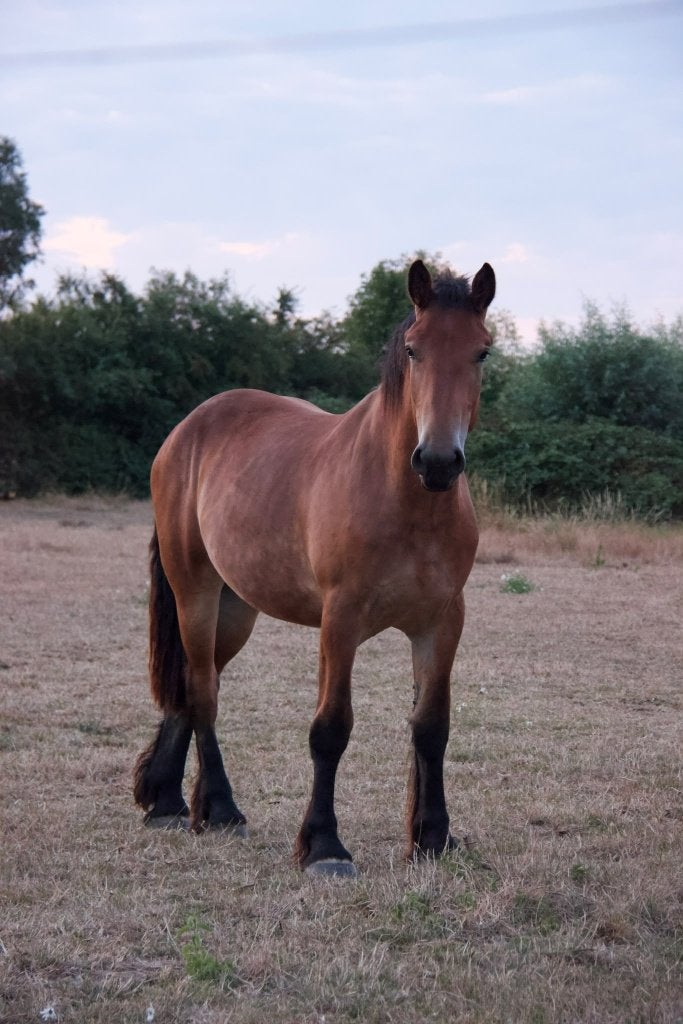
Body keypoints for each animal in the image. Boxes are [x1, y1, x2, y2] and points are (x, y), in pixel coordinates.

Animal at [134, 258, 495, 877]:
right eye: (415, 350)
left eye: (482, 353)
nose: (438, 461)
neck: (407, 500)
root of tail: (184, 433)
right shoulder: (340, 621)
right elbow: (331, 729)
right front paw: (324, 845)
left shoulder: (442, 622)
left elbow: (432, 727)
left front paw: (432, 837)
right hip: (195, 592)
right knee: (202, 691)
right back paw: (221, 809)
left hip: (236, 608)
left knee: (193, 686)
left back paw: (168, 802)